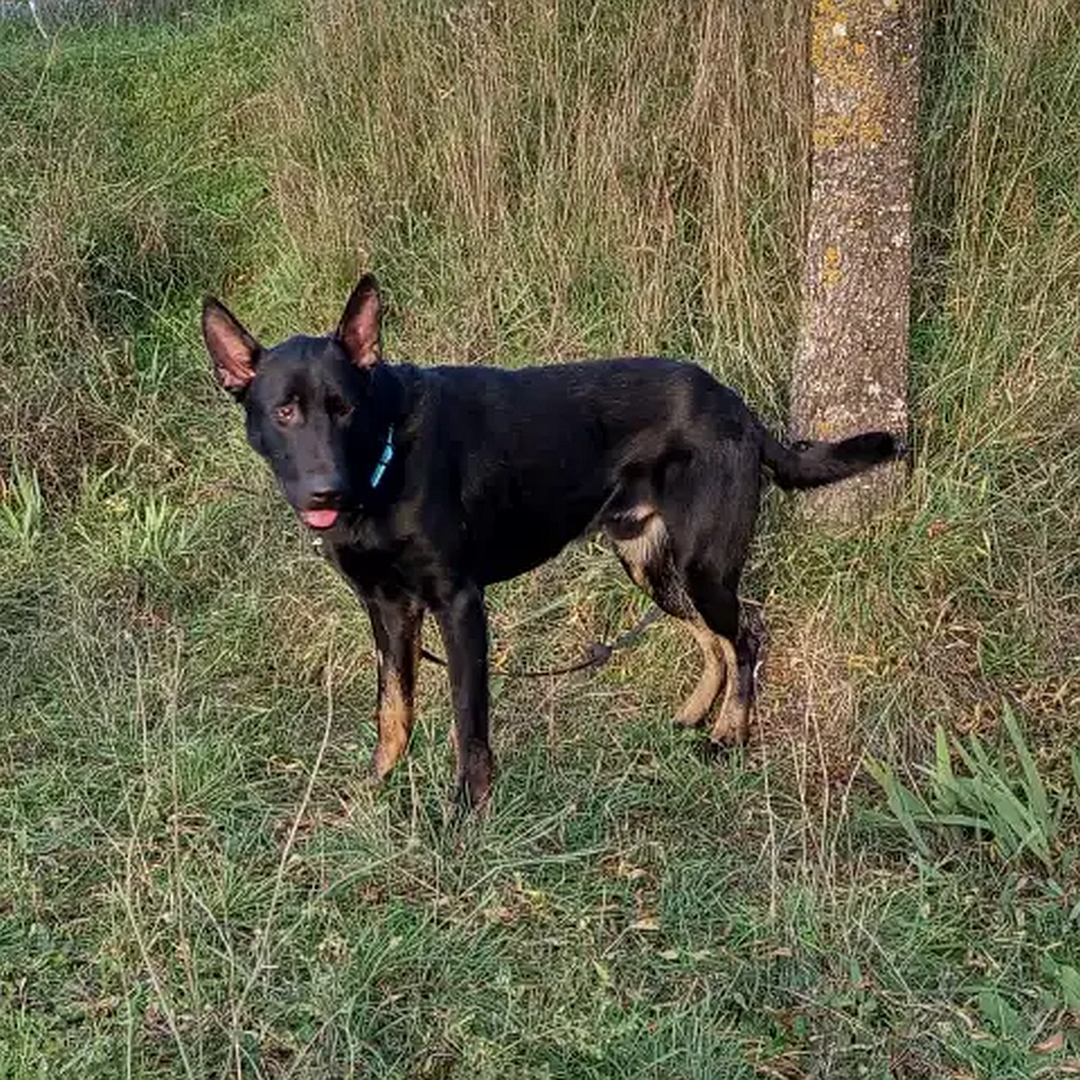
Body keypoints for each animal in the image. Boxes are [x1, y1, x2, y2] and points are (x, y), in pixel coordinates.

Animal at [200, 274, 894, 807]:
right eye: (284, 412)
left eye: (344, 407)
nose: (325, 493)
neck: (385, 458)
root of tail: (740, 407)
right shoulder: (388, 610)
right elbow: (393, 709)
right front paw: (380, 785)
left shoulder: (459, 604)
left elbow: (467, 719)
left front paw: (466, 812)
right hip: (647, 563)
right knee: (714, 641)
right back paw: (698, 714)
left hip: (702, 564)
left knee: (746, 635)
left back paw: (729, 735)